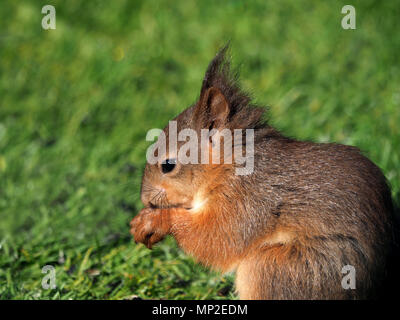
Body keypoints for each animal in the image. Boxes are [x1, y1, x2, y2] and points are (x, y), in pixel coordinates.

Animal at [130, 46, 394, 298]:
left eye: (168, 165)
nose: (145, 198)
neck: (231, 167)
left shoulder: (249, 202)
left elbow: (218, 238)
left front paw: (154, 220)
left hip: (278, 269)